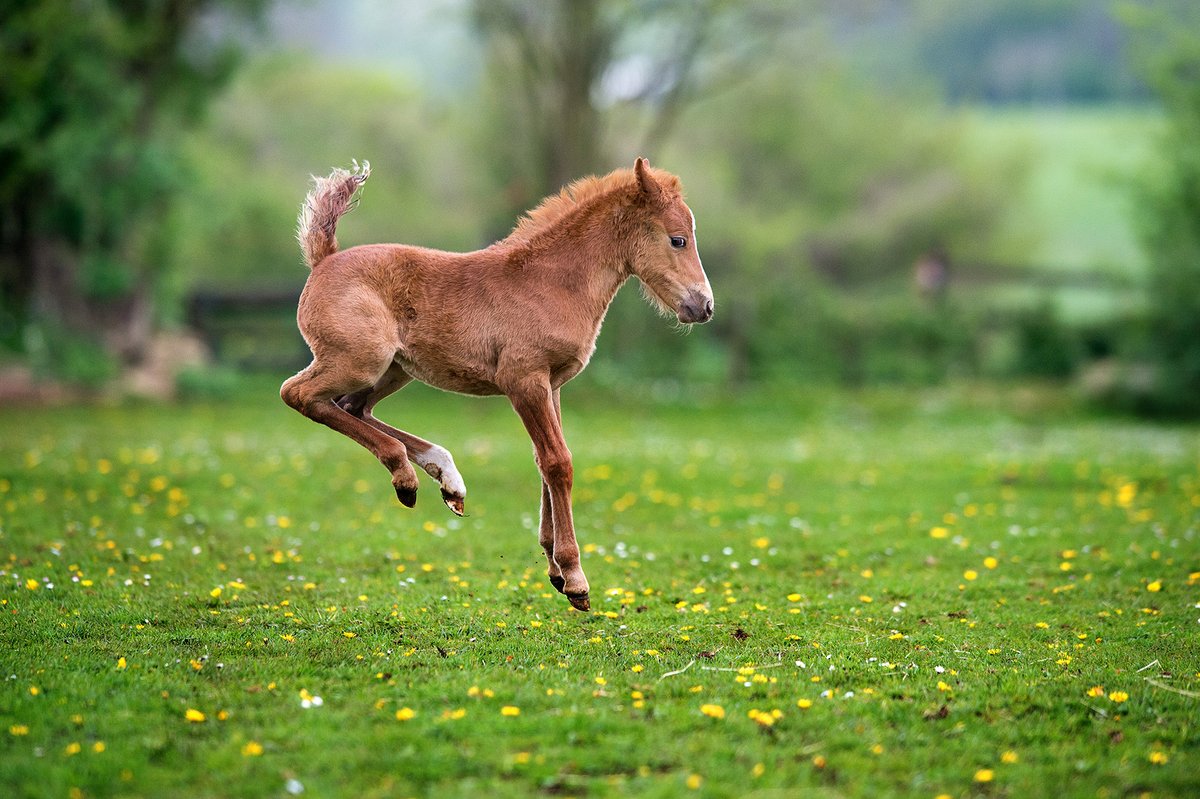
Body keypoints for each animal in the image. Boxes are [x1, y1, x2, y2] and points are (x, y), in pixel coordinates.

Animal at [280, 160, 710, 609]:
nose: (703, 306)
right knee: (298, 394)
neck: (552, 283)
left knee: (351, 406)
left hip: (395, 370)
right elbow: (558, 463)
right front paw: (574, 577)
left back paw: (445, 477)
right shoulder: (524, 381)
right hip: (363, 361)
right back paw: (407, 477)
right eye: (678, 239)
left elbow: (546, 461)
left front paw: (554, 570)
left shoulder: (553, 385)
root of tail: (324, 261)